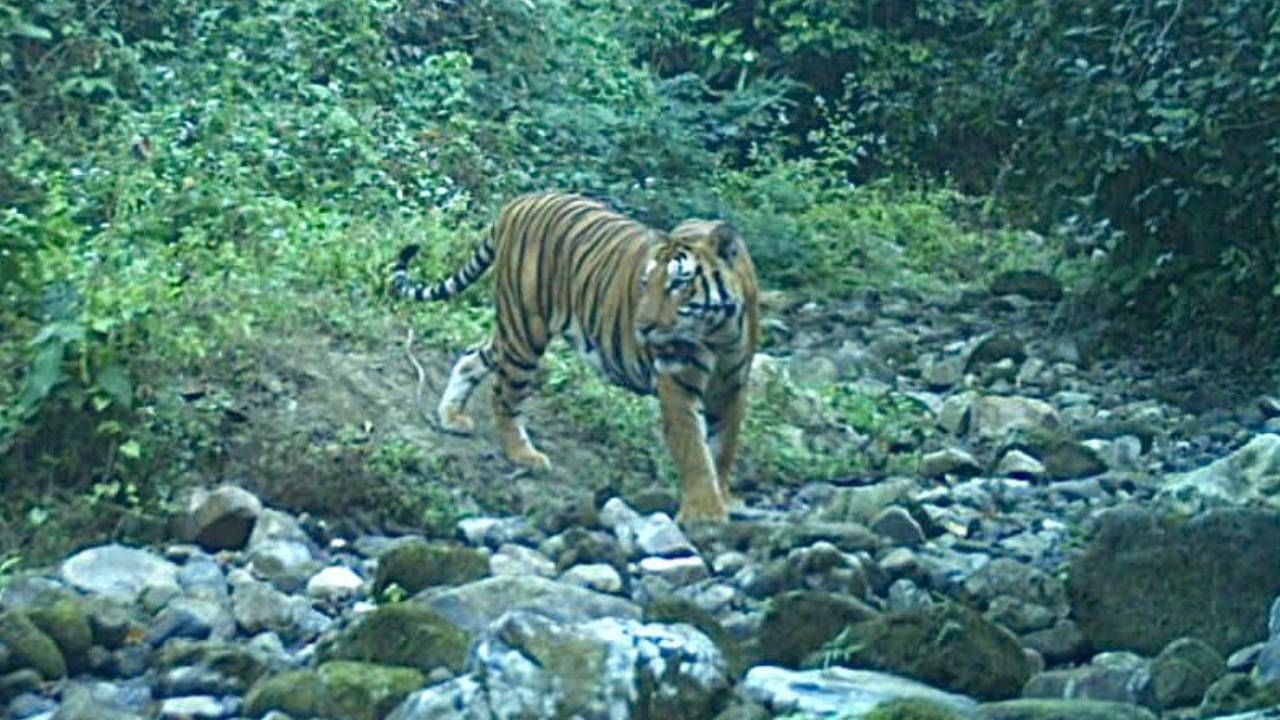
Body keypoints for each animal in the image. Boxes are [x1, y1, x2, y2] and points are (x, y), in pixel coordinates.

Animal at [391, 189, 757, 520]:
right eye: (645, 283)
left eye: (679, 283)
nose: (642, 327)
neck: (718, 332)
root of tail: (517, 203)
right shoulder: (677, 384)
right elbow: (694, 450)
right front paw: (705, 513)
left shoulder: (732, 387)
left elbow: (723, 448)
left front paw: (724, 498)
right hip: (525, 329)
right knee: (505, 396)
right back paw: (523, 454)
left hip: (512, 333)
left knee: (473, 356)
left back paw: (451, 415)